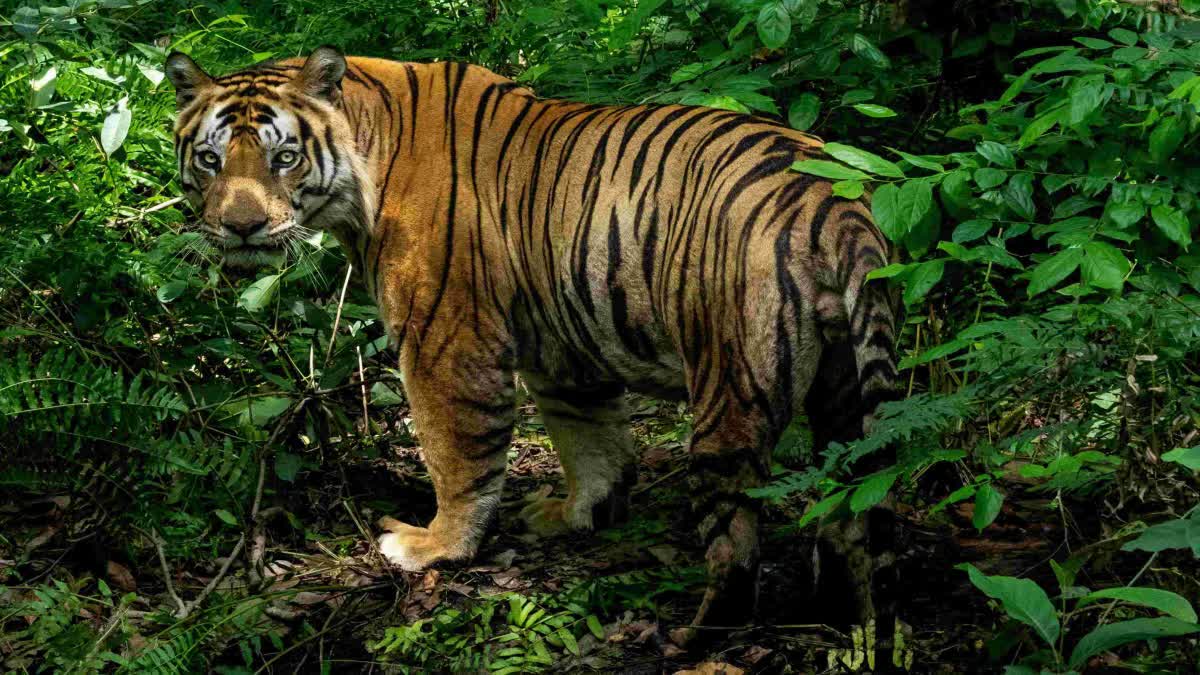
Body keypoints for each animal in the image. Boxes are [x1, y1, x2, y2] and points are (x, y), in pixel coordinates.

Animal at [165, 46, 901, 640]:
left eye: (284, 158)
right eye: (210, 159)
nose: (240, 228)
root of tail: (836, 203)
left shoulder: (445, 336)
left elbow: (456, 450)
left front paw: (434, 545)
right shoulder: (563, 344)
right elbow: (591, 439)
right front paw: (578, 512)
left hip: (731, 384)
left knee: (737, 541)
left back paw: (699, 636)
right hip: (844, 393)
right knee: (849, 514)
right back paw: (844, 619)